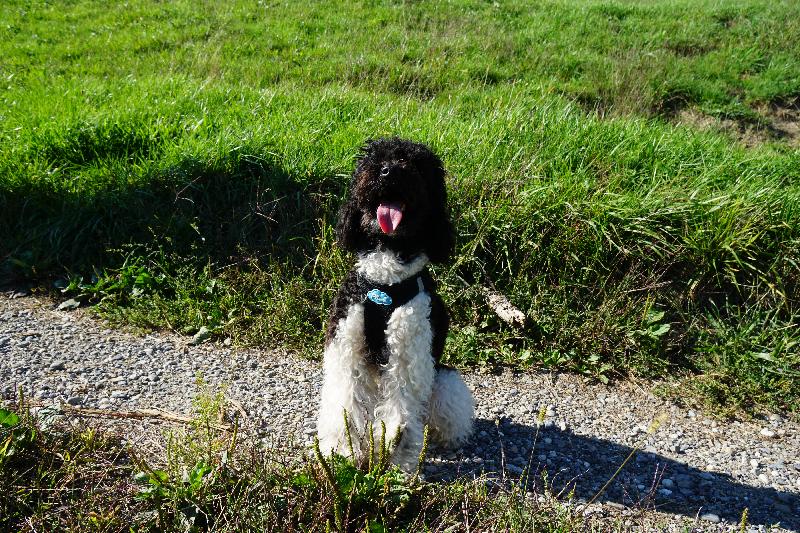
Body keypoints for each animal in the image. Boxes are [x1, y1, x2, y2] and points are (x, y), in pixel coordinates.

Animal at [316, 137, 475, 471]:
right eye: (373, 160)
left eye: (415, 164)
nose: (388, 171)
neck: (384, 281)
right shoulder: (346, 350)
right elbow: (344, 405)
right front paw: (341, 453)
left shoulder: (407, 358)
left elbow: (400, 418)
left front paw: (394, 464)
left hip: (445, 379)